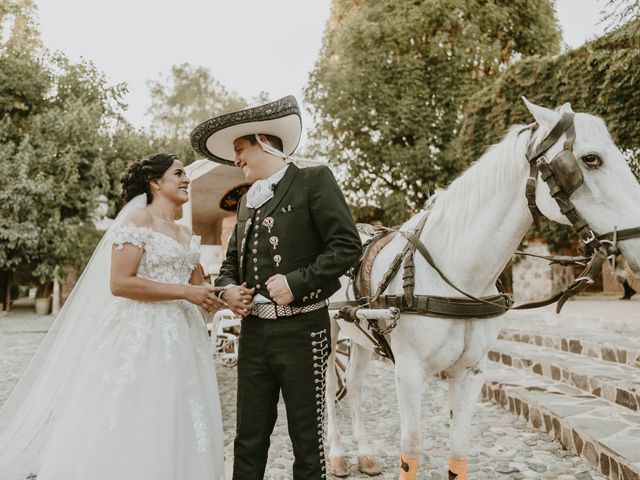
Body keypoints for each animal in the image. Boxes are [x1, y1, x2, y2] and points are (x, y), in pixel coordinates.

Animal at [324, 98, 640, 480]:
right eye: (591, 158)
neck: (457, 276)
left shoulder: (471, 373)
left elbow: (459, 450)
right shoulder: (409, 374)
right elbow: (410, 449)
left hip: (361, 335)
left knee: (354, 383)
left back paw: (365, 453)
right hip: (329, 331)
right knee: (329, 387)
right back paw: (338, 454)